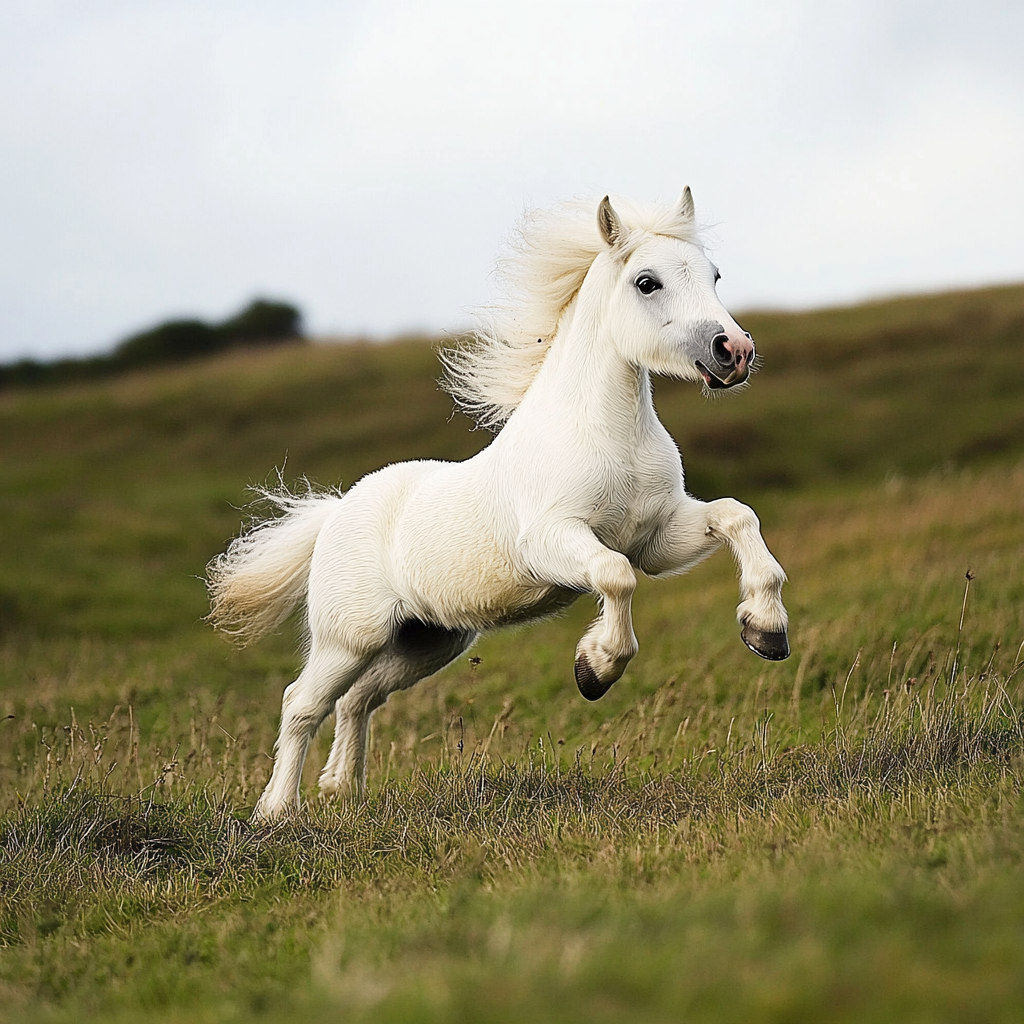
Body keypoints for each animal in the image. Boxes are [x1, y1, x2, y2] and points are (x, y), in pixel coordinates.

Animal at [205, 188, 782, 819]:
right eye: (646, 282)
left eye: (714, 274)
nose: (735, 351)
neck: (608, 436)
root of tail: (336, 512)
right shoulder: (553, 542)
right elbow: (615, 574)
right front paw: (595, 668)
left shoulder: (657, 540)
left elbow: (736, 516)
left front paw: (765, 631)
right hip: (348, 638)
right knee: (301, 703)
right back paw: (278, 810)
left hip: (425, 642)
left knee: (359, 699)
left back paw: (343, 791)